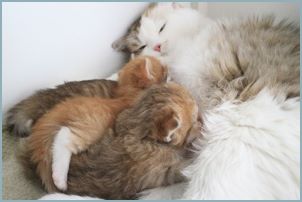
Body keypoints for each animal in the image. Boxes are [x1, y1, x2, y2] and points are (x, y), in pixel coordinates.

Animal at [22, 56, 168, 192]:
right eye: (165, 74)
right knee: (64, 137)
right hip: (92, 125)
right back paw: (60, 179)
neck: (127, 96)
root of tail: (54, 114)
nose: (169, 70)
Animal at [24, 82, 201, 199]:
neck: (137, 127)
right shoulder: (166, 169)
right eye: (194, 115)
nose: (200, 119)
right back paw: (59, 178)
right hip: (94, 122)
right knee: (65, 135)